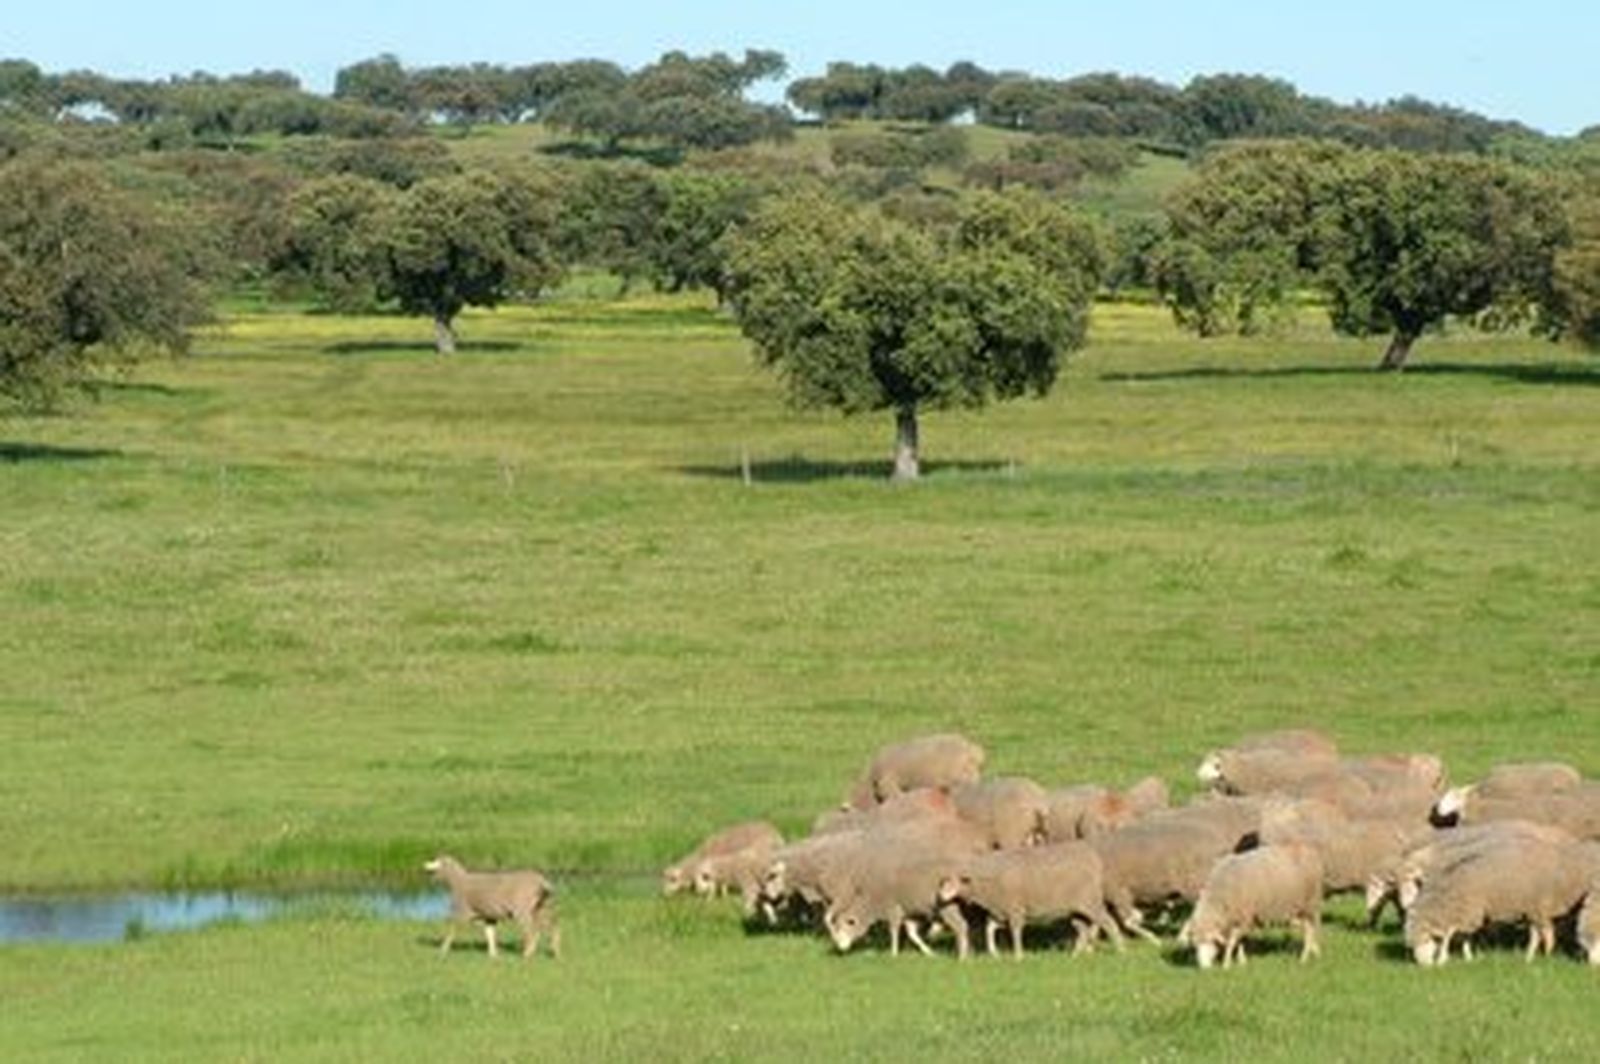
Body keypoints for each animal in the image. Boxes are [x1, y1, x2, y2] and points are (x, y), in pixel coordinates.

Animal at [424, 855, 559, 959]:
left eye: (438, 861)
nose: (426, 865)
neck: (458, 882)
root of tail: (542, 882)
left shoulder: (462, 912)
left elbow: (451, 931)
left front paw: (442, 951)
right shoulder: (489, 916)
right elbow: (490, 934)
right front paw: (493, 955)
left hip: (523, 909)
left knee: (531, 930)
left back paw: (527, 954)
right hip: (541, 907)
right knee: (551, 927)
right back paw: (555, 953)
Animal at [935, 842, 1124, 960]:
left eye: (954, 883)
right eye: (944, 882)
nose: (940, 896)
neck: (989, 885)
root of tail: (1095, 860)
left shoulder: (1015, 909)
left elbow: (1016, 931)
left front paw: (1018, 956)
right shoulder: (1001, 911)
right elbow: (990, 928)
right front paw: (994, 953)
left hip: (1090, 902)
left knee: (1109, 922)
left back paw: (1121, 950)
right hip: (1075, 909)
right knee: (1082, 929)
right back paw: (1074, 955)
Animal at [1180, 843, 1324, 970]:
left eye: (1210, 941)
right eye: (1195, 944)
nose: (1204, 969)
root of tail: (1310, 851)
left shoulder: (1245, 918)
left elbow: (1232, 942)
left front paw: (1226, 964)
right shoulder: (1239, 919)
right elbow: (1240, 941)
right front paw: (1242, 961)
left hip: (1311, 904)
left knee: (1312, 929)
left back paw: (1306, 957)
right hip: (1300, 909)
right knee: (1308, 929)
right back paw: (1313, 951)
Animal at [1403, 836, 1595, 966]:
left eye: (1421, 938)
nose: (1423, 966)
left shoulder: (1470, 911)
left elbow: (1451, 932)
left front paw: (1442, 958)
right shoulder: (1471, 914)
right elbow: (1464, 935)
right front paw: (1468, 957)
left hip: (1537, 906)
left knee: (1544, 933)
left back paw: (1542, 953)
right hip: (1531, 909)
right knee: (1537, 933)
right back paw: (1530, 956)